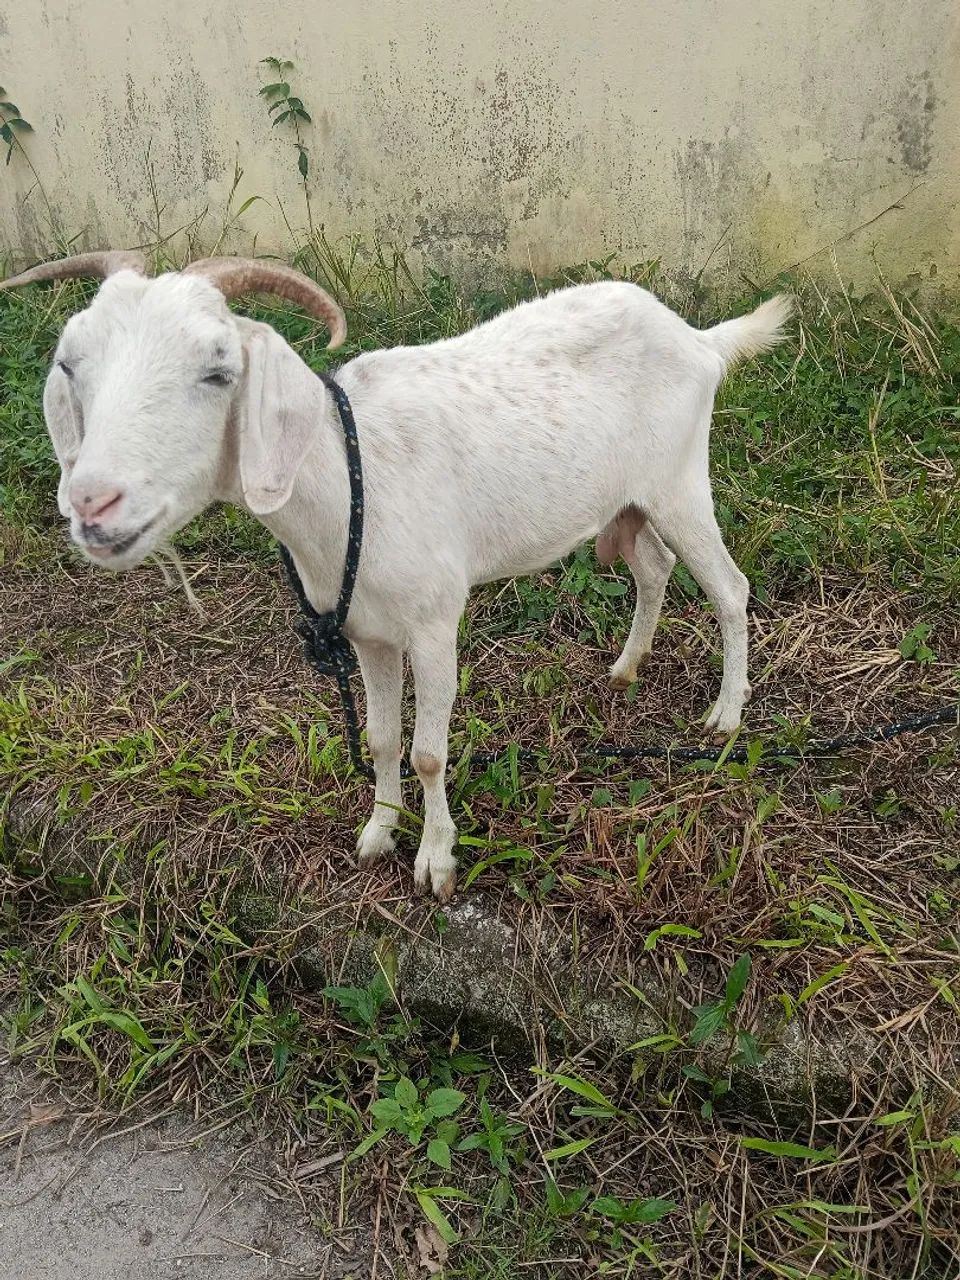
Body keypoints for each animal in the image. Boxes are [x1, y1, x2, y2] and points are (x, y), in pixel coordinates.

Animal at [1, 252, 791, 900]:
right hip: (629, 499)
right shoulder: (365, 631)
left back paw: (725, 716)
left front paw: (436, 863)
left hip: (679, 482)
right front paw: (378, 833)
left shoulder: (435, 623)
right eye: (70, 366)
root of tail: (699, 340)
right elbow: (382, 741)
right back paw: (627, 665)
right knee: (655, 566)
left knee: (730, 588)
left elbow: (429, 752)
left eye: (219, 370)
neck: (349, 484)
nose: (92, 503)